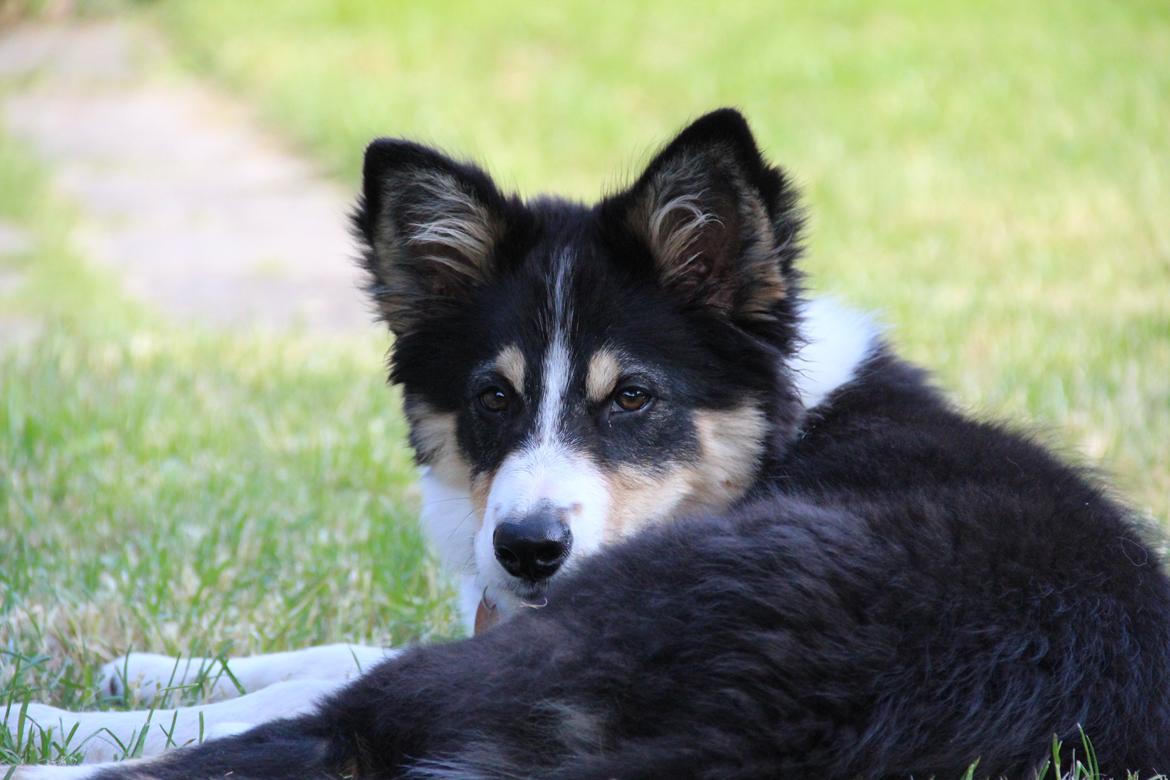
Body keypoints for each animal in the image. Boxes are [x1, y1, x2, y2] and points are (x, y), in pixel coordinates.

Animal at [9, 111, 1170, 780]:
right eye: (493, 397)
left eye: (635, 398)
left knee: (342, 730)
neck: (778, 430)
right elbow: (342, 646)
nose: (527, 551)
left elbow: (320, 685)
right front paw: (144, 668)